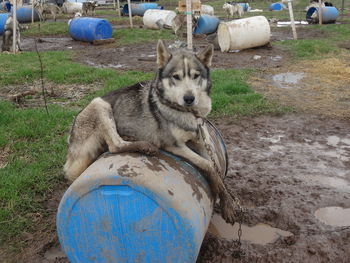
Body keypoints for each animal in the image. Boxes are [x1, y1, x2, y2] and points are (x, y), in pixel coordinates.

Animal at [64, 40, 237, 225]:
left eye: (195, 75)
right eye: (176, 77)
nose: (189, 98)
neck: (188, 113)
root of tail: (72, 133)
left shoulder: (201, 142)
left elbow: (216, 169)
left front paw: (226, 202)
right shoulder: (175, 145)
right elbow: (208, 165)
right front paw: (221, 195)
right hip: (100, 104)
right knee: (114, 145)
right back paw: (145, 146)